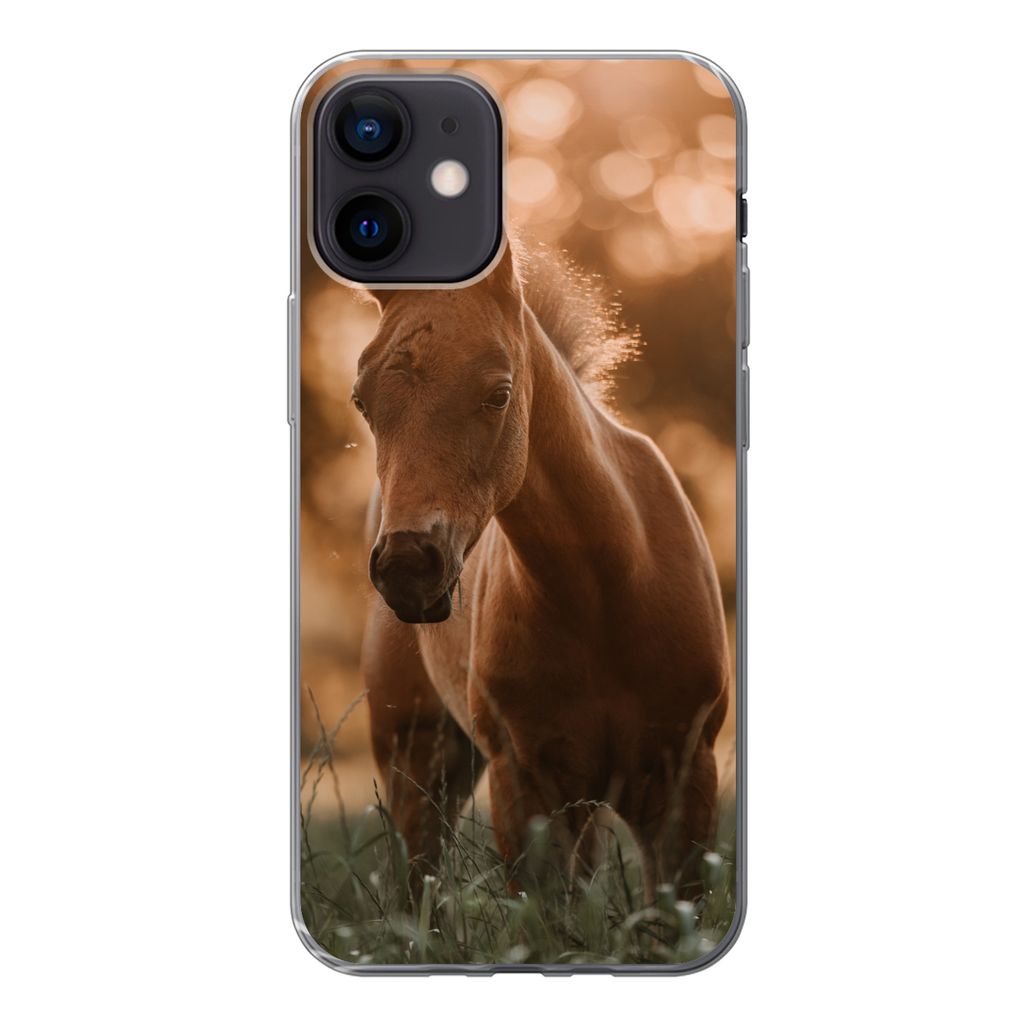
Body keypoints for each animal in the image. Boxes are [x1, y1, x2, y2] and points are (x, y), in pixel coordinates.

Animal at [353, 242, 729, 901]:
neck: (605, 593)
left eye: (499, 394)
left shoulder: (686, 780)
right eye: (361, 402)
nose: (406, 566)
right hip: (415, 754)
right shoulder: (524, 786)